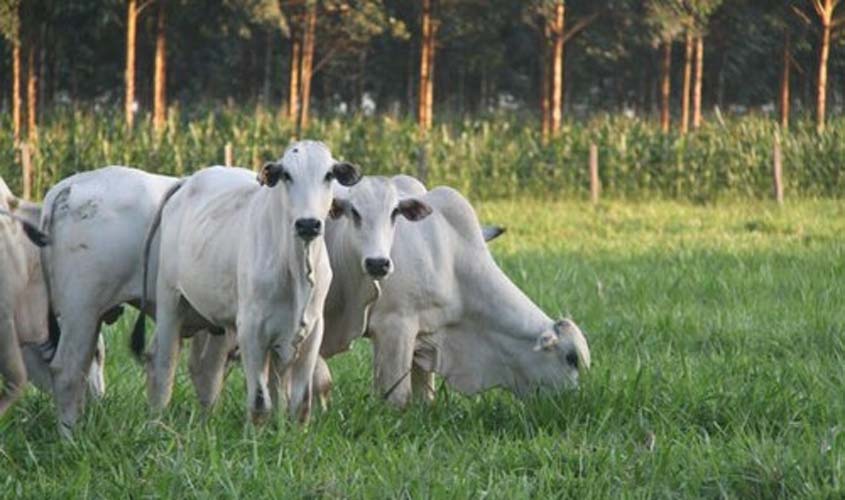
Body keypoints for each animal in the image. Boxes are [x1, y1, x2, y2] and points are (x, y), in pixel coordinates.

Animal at [38, 166, 231, 432]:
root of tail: (71, 185)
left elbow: (205, 373)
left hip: (88, 317)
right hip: (82, 309)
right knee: (67, 371)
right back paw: (70, 434)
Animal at [137, 141, 362, 422]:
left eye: (329, 175)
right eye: (287, 175)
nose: (308, 224)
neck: (297, 269)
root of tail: (188, 180)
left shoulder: (311, 332)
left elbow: (299, 403)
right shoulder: (251, 330)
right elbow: (260, 402)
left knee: (207, 370)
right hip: (171, 300)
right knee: (164, 363)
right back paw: (156, 419)